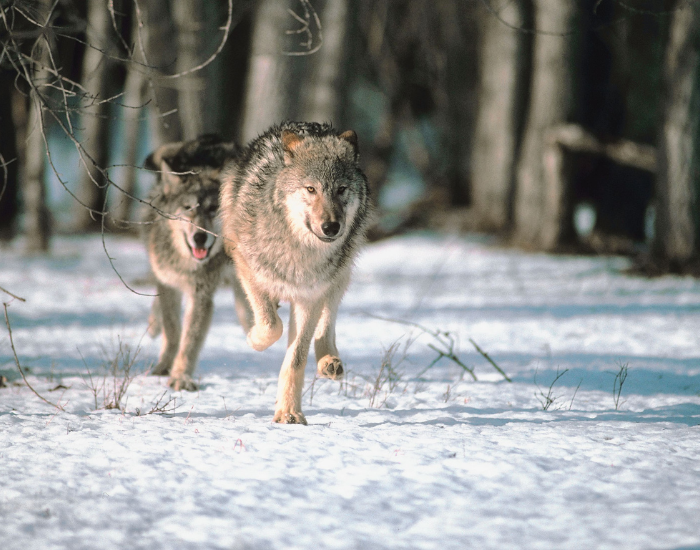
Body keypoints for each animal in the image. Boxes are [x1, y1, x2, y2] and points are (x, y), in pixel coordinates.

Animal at [143, 134, 250, 391]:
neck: (187, 264)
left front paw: (180, 377)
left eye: (213, 209)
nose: (200, 237)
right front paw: (164, 367)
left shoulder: (201, 295)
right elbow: (173, 330)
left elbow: (190, 341)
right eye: (188, 208)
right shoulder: (168, 284)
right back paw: (153, 325)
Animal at [220, 121, 371, 424]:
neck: (300, 252)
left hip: (341, 272)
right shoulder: (247, 268)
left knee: (328, 321)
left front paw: (289, 412)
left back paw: (329, 362)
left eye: (341, 189)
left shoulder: (310, 296)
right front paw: (253, 339)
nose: (331, 227)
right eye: (311, 189)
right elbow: (270, 326)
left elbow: (296, 357)